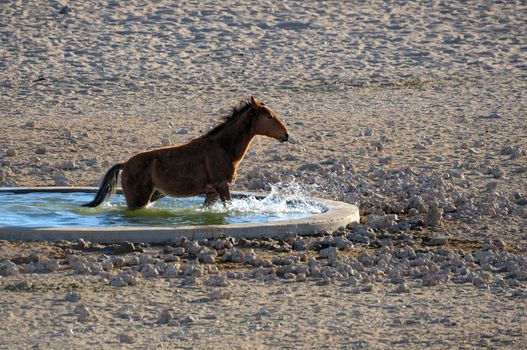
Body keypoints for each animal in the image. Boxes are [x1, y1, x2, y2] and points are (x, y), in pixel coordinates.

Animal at [83, 97, 288, 209]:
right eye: (268, 116)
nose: (285, 135)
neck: (224, 147)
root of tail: (125, 164)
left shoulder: (212, 192)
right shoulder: (222, 187)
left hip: (152, 195)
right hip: (138, 199)